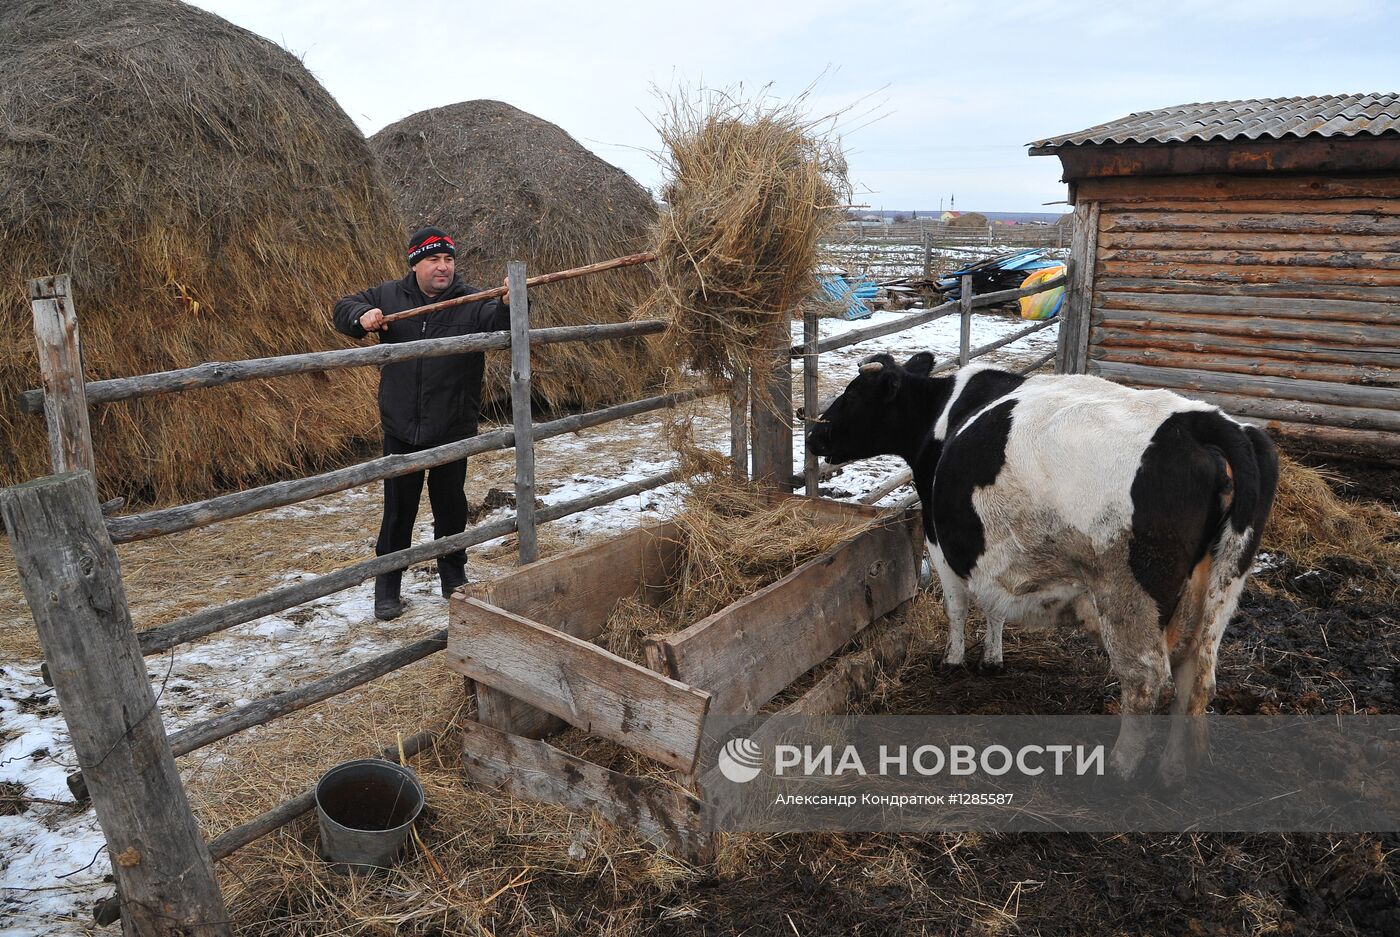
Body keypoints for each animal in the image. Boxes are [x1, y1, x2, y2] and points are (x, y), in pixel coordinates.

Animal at [812, 350, 1282, 773]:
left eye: (853, 394)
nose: (813, 430)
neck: (941, 414)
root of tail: (1205, 422)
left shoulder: (938, 537)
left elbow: (957, 606)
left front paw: (953, 659)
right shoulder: (993, 551)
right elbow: (994, 607)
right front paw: (993, 659)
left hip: (1130, 592)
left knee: (1146, 677)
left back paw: (1121, 766)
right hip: (1221, 587)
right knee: (1197, 676)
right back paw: (1178, 768)